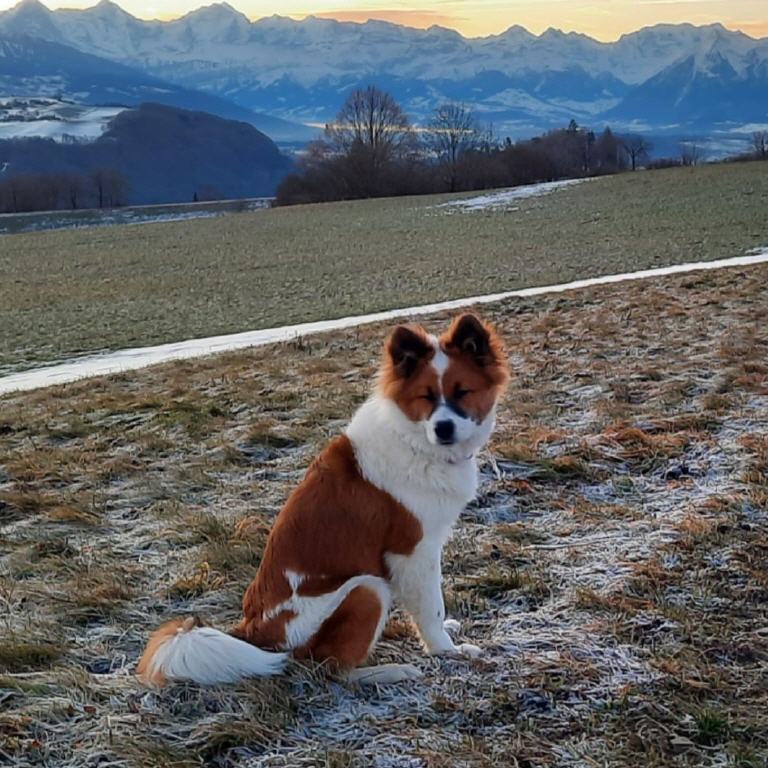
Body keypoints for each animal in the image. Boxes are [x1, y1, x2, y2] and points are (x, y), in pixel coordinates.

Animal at [136, 313, 509, 686]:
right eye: (427, 397)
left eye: (462, 392)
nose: (443, 428)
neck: (415, 442)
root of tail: (253, 634)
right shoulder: (413, 552)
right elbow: (431, 607)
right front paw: (446, 650)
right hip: (367, 588)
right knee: (332, 667)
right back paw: (390, 671)